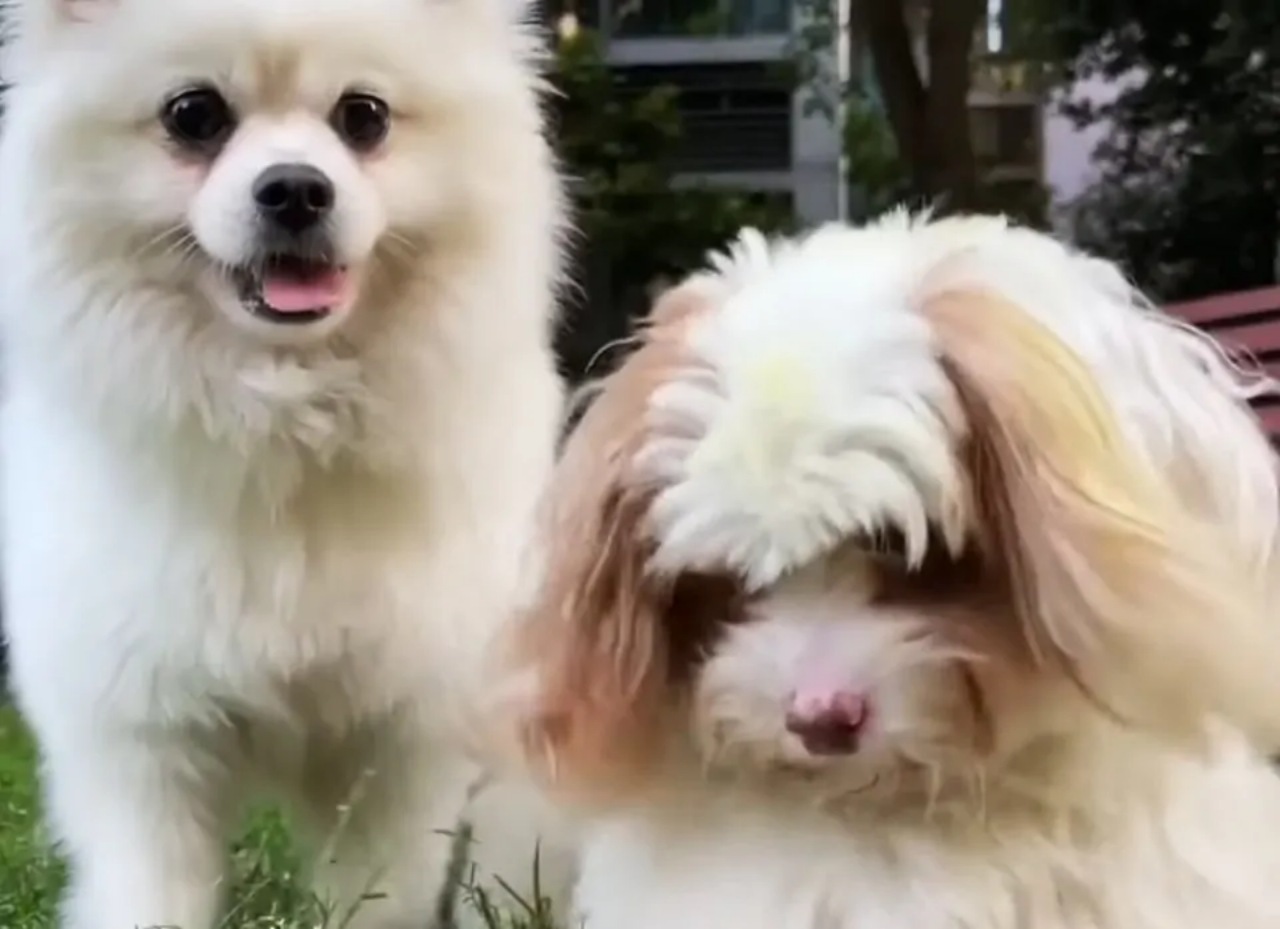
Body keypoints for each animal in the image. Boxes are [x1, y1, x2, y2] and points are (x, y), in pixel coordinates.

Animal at [0, 1, 573, 929]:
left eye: (364, 116)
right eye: (194, 114)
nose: (297, 188)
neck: (279, 423)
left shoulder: (398, 742)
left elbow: (384, 891)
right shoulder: (143, 740)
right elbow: (151, 887)